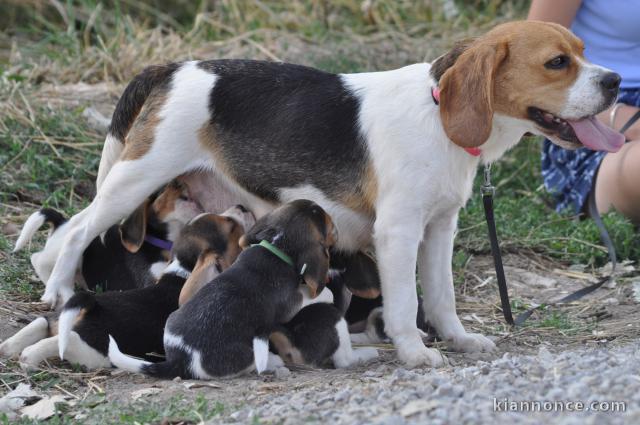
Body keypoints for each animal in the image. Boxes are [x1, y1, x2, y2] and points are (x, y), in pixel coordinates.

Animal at [0, 207, 250, 370]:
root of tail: (90, 306)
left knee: (41, 323)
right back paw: (29, 357)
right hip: (92, 349)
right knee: (63, 341)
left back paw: (9, 348)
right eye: (230, 225)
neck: (182, 270)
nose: (242, 206)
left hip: (59, 317)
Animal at [13, 179, 201, 292]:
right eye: (162, 189)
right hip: (64, 253)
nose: (181, 182)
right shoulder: (152, 281)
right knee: (37, 259)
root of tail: (62, 222)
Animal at [38, 19, 620, 366]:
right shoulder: (399, 232)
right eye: (557, 62)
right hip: (135, 179)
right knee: (76, 231)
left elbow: (442, 296)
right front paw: (414, 352)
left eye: (583, 52)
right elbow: (406, 302)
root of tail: (171, 67)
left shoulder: (439, 228)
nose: (615, 82)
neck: (437, 112)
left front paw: (457, 338)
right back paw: (59, 292)